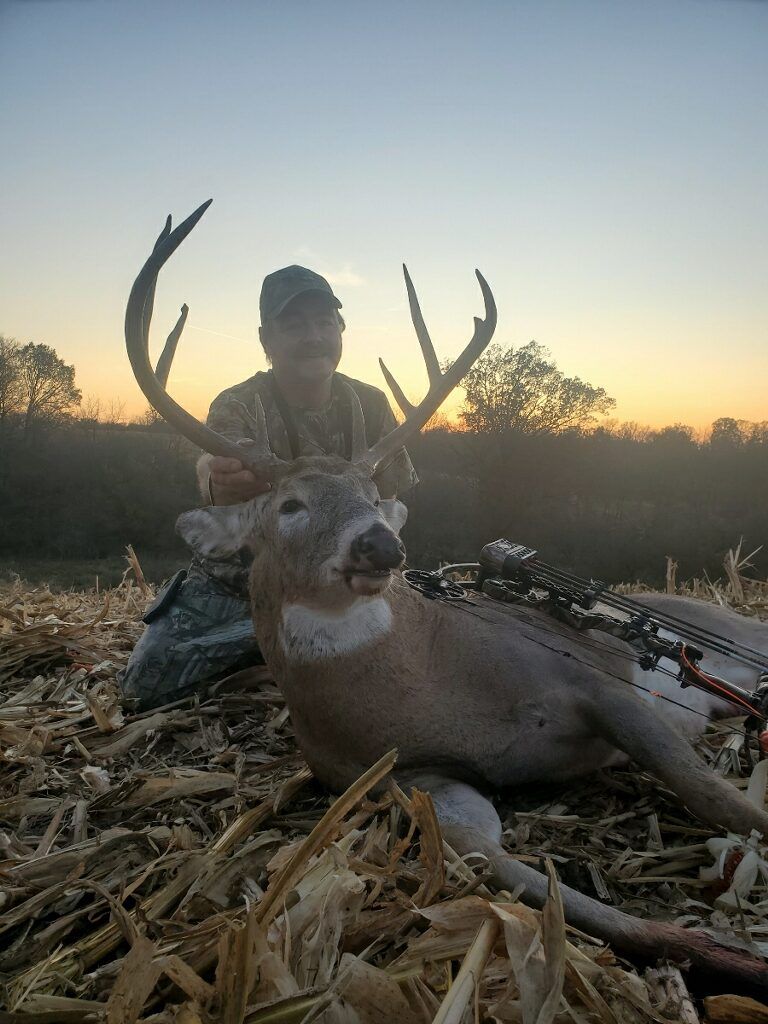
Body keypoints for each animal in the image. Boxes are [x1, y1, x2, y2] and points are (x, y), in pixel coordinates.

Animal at [126, 200, 768, 995]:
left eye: (373, 494)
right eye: (291, 505)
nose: (381, 545)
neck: (430, 680)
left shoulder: (594, 684)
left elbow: (716, 797)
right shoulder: (409, 780)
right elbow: (499, 866)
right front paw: (718, 955)